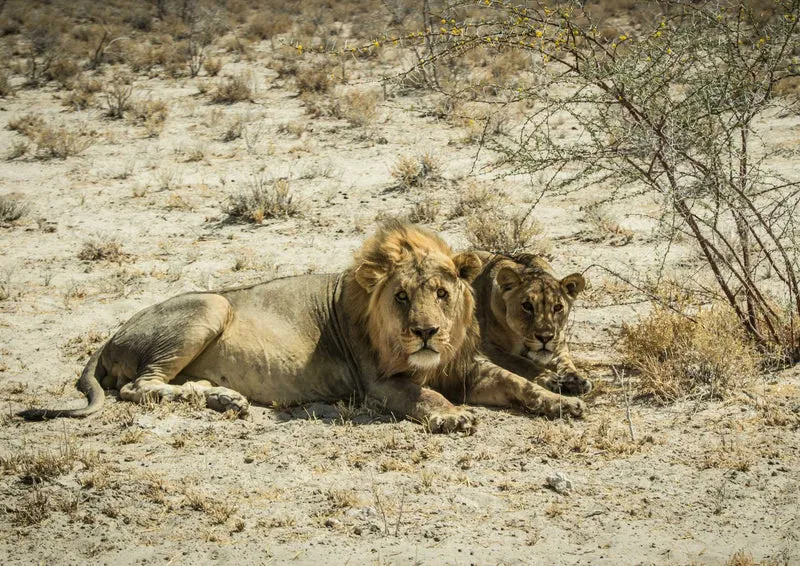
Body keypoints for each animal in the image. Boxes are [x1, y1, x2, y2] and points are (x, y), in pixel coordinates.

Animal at [472, 251, 593, 396]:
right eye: (527, 306)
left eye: (558, 307)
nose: (545, 338)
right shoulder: (487, 346)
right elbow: (520, 362)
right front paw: (550, 378)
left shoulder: (559, 343)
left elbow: (565, 361)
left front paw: (576, 379)